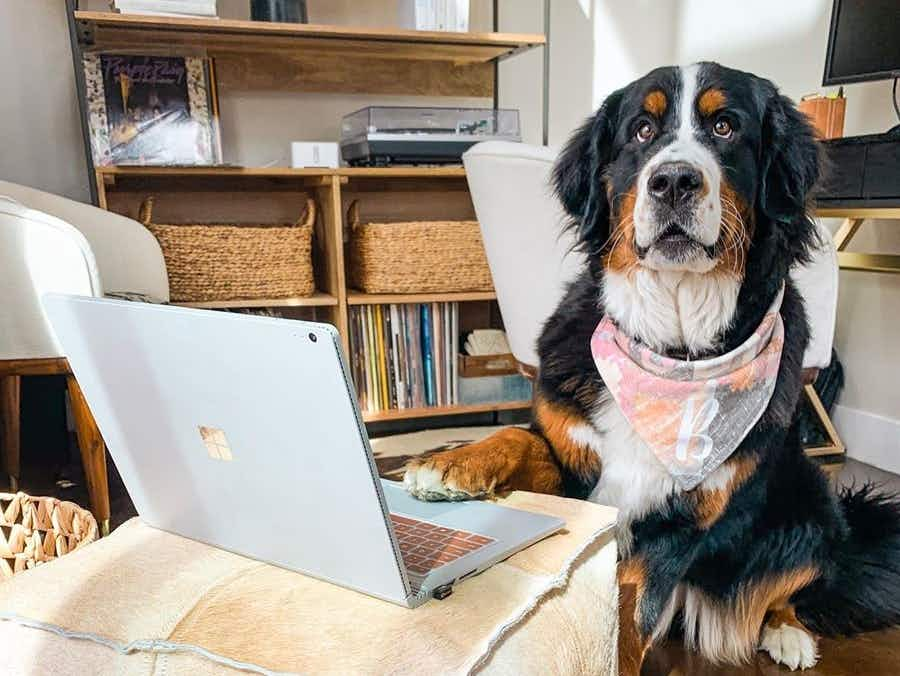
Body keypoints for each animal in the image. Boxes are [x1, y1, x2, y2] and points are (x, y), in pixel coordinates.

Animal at [404, 62, 900, 672]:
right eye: (641, 130)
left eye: (726, 126)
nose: (674, 181)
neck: (673, 350)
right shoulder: (575, 462)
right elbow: (522, 439)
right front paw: (449, 463)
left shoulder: (683, 522)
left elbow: (630, 610)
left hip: (807, 498)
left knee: (788, 584)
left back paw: (788, 633)